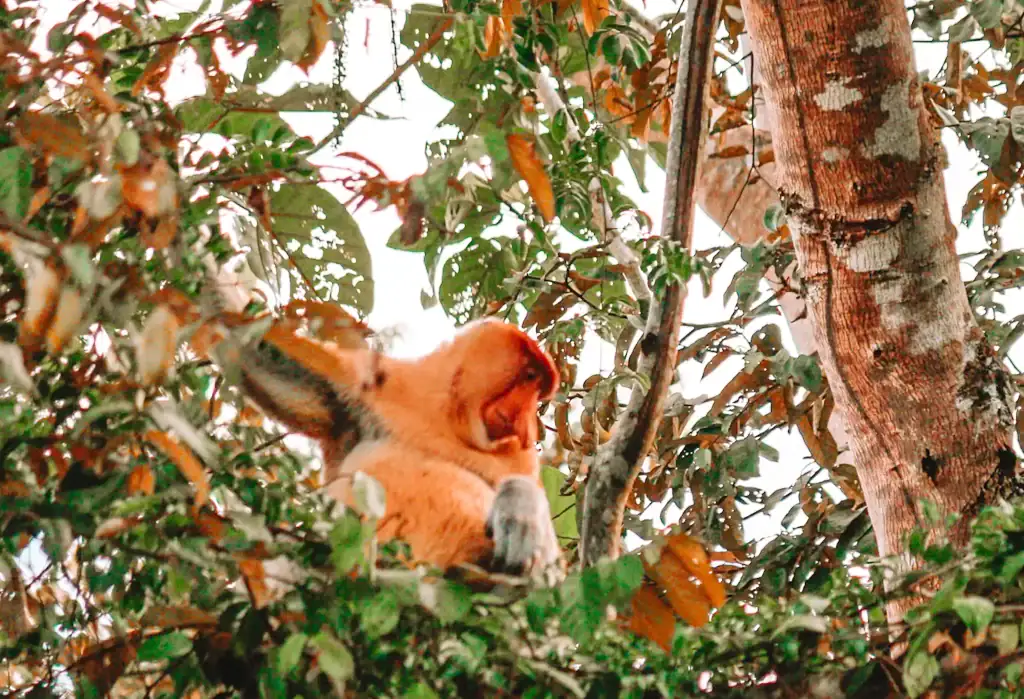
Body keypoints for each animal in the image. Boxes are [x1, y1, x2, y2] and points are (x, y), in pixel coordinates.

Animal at [215, 317, 564, 579]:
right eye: (530, 376)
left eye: (539, 391)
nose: (526, 424)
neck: (450, 419)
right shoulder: (378, 383)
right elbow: (266, 361)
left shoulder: (519, 457)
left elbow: (550, 566)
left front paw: (520, 516)